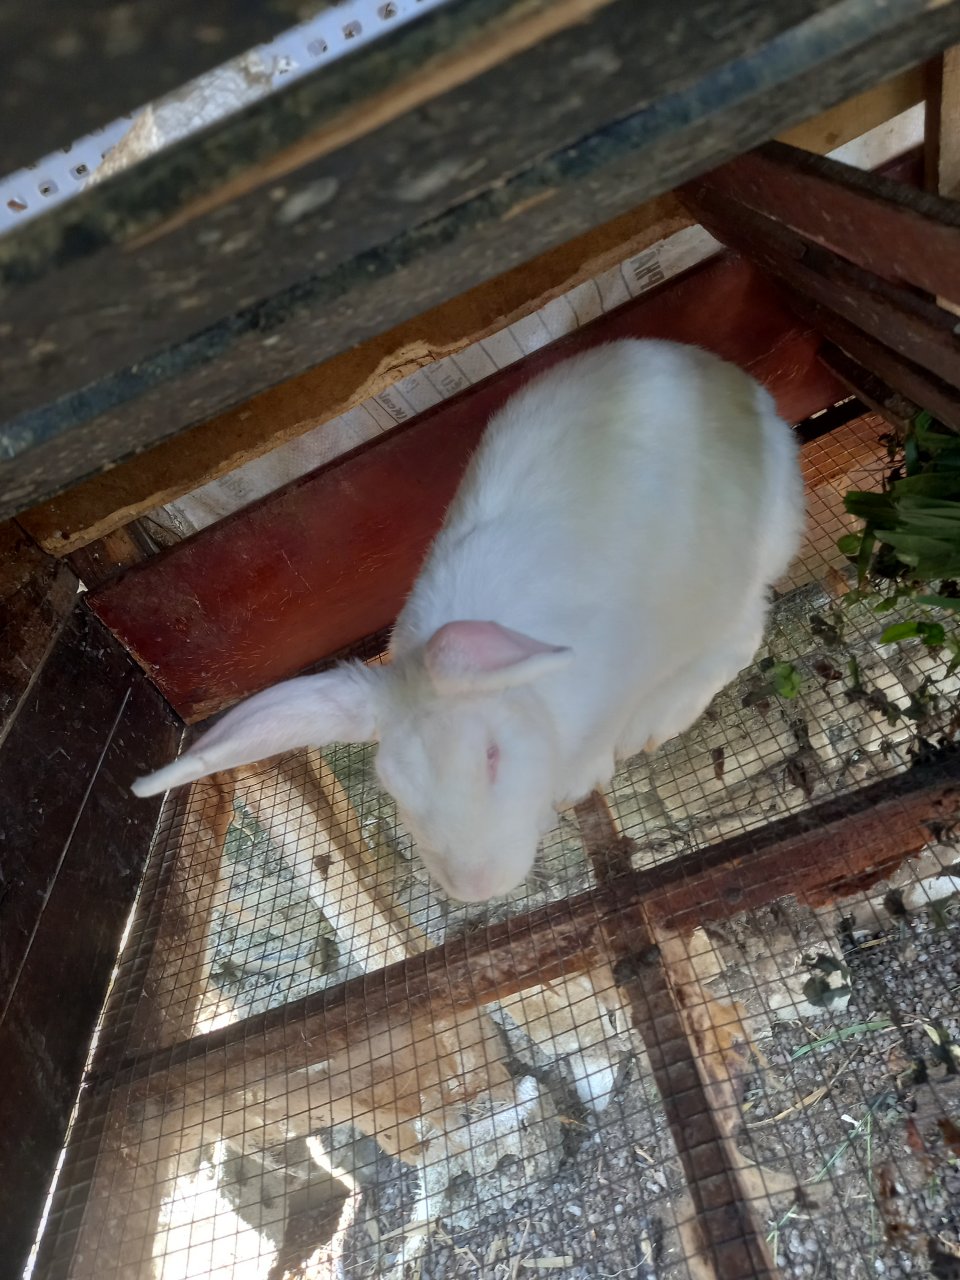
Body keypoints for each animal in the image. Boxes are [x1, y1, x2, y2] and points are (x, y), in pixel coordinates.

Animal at [133, 339, 804, 903]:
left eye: (492, 757)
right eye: (395, 790)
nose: (477, 889)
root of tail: (731, 378)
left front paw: (581, 779)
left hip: (742, 559)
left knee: (743, 629)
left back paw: (658, 719)